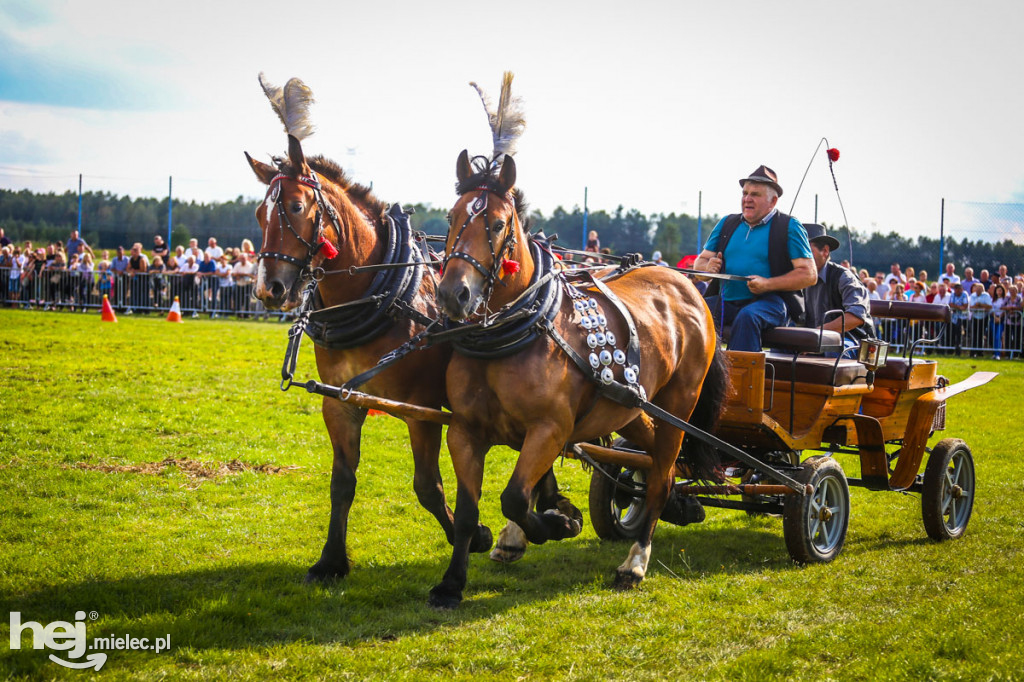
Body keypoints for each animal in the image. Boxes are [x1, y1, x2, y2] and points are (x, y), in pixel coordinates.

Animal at [425, 143, 729, 606]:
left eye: (496, 223)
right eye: (451, 217)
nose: (452, 295)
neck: (516, 330)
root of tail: (688, 285)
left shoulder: (550, 428)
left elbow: (515, 498)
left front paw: (559, 522)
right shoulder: (464, 430)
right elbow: (466, 512)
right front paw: (452, 583)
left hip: (679, 406)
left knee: (661, 475)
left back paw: (635, 562)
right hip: (629, 407)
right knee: (656, 459)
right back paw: (673, 505)